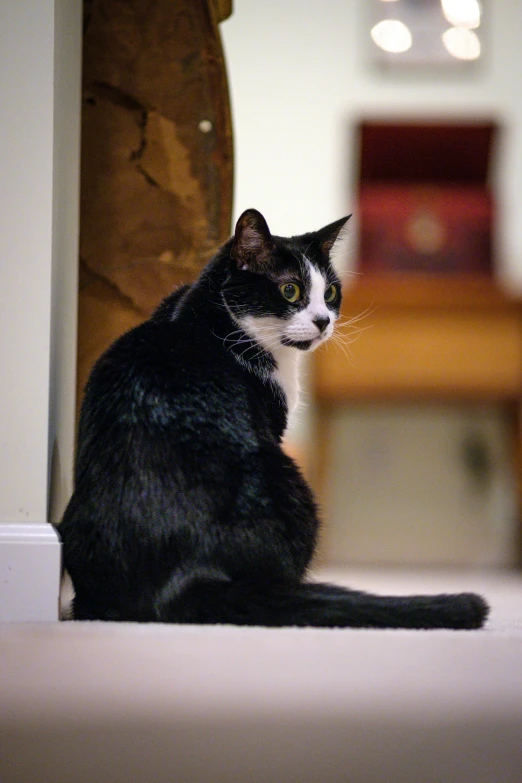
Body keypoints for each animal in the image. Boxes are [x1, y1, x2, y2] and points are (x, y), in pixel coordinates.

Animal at [58, 208, 488, 632]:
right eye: (290, 291)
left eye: (330, 293)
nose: (323, 321)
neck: (207, 318)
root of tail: (183, 579)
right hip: (294, 487)